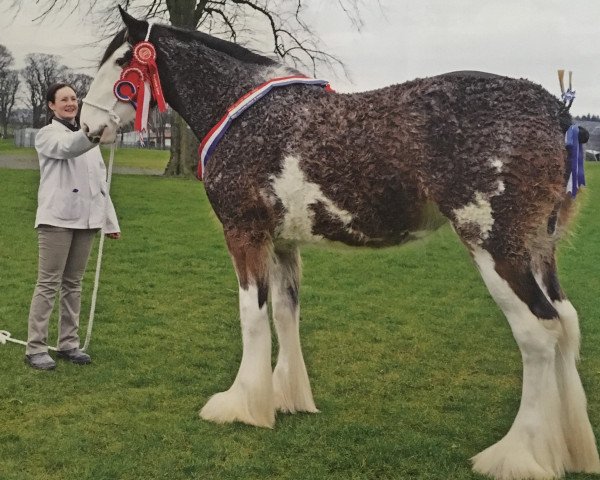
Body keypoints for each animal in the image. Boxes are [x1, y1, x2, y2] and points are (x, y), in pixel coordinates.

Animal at [81, 7, 600, 480]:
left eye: (123, 62)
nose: (88, 127)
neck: (245, 115)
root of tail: (557, 112)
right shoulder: (282, 242)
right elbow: (285, 312)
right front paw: (285, 398)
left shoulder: (245, 233)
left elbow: (253, 315)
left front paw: (242, 405)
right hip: (539, 249)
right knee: (566, 323)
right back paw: (570, 449)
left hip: (496, 247)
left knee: (538, 332)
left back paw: (518, 456)